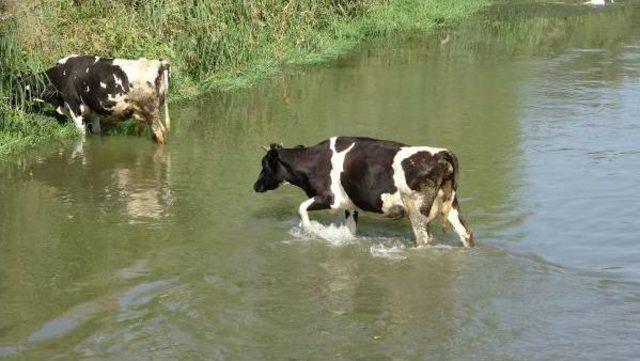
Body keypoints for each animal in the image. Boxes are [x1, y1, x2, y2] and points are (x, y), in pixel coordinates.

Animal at [16, 54, 172, 142]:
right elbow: (96, 132)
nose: (14, 108)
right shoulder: (94, 110)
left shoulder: (74, 108)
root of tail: (159, 63)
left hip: (150, 112)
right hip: (156, 111)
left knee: (160, 135)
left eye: (15, 89)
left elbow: (81, 134)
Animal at [255, 136, 476, 246]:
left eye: (264, 164)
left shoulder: (331, 198)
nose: (255, 186)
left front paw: (310, 230)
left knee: (423, 240)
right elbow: (350, 230)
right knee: (466, 233)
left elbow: (301, 208)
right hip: (452, 205)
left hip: (417, 210)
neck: (314, 162)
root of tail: (441, 153)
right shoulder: (350, 205)